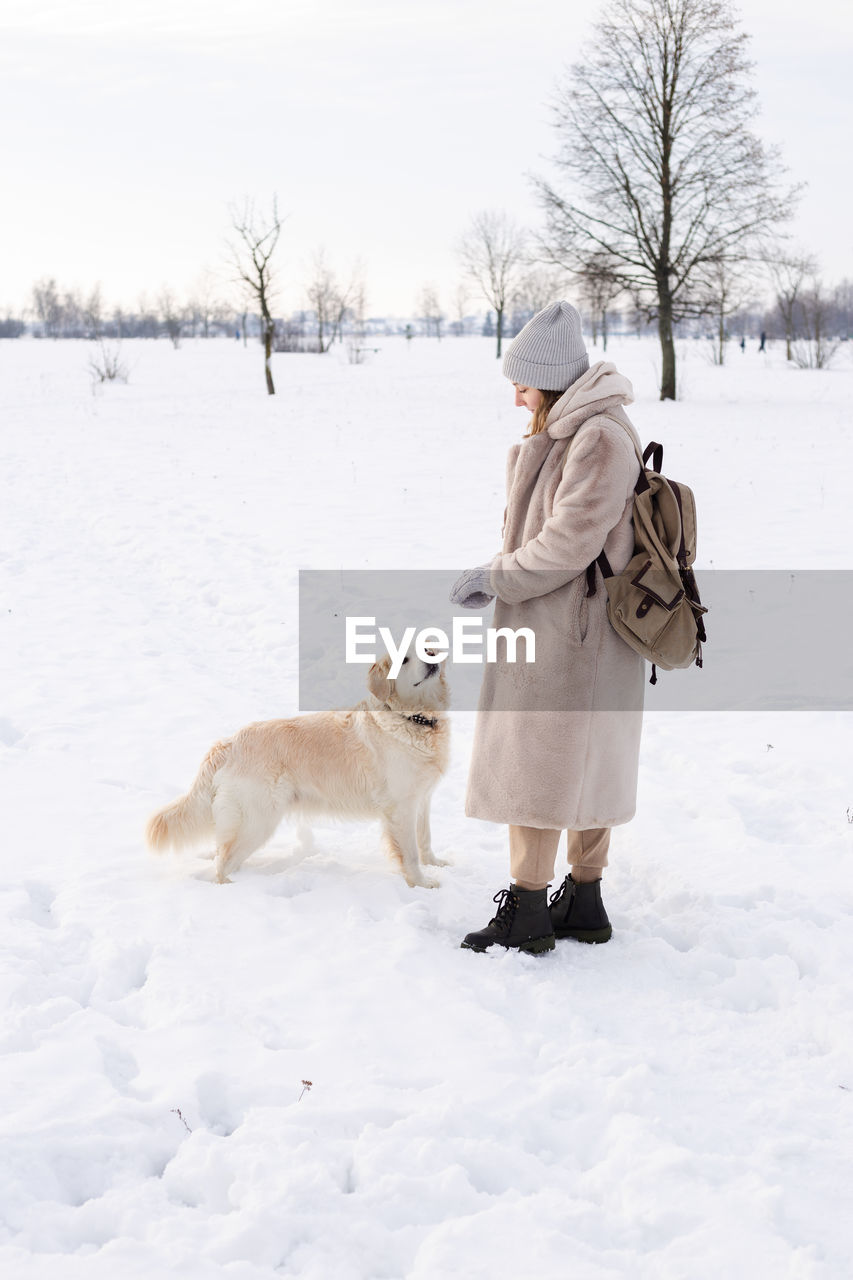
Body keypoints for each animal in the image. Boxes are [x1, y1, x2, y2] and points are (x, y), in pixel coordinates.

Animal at [144, 655, 450, 885]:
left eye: (426, 646)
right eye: (405, 658)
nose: (432, 656)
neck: (412, 719)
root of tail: (229, 743)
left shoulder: (422, 799)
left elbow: (425, 840)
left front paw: (436, 864)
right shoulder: (400, 807)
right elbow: (410, 853)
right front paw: (421, 883)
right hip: (259, 820)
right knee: (222, 864)